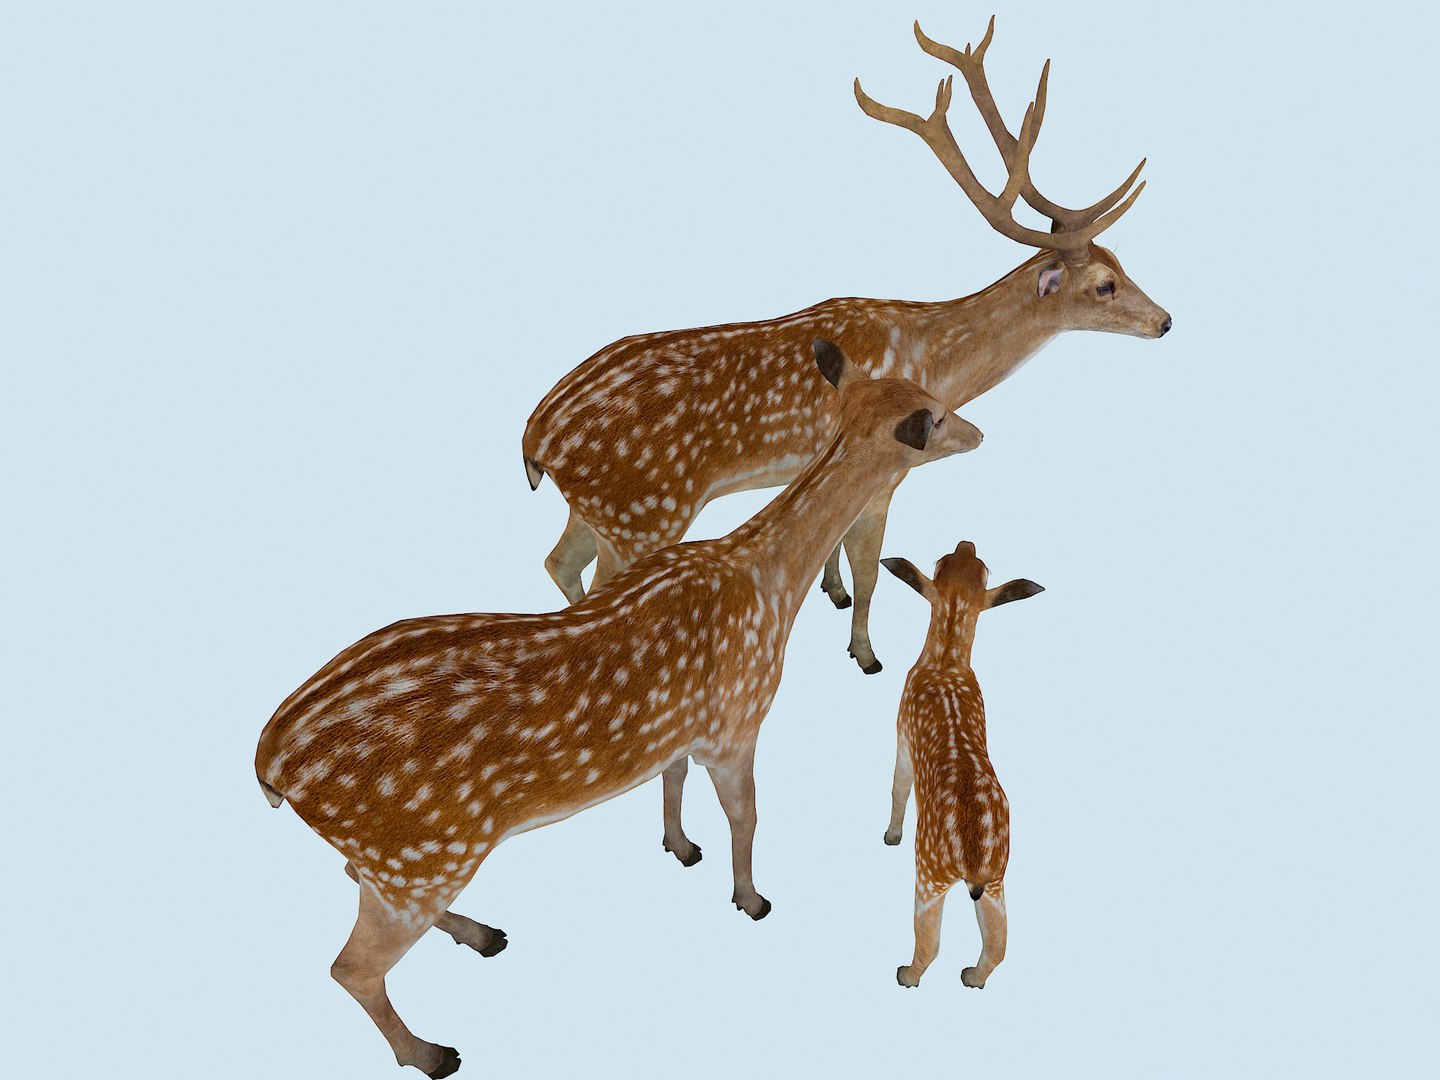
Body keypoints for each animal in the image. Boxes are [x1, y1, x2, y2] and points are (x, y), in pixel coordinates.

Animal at [254, 343, 983, 1077]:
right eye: (937, 416)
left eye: (921, 394)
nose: (980, 434)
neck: (768, 587)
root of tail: (270, 766)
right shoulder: (737, 720)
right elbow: (747, 817)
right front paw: (751, 900)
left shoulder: (683, 728)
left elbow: (672, 778)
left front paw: (680, 846)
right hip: (424, 852)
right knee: (350, 968)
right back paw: (432, 1052)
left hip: (400, 861)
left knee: (355, 883)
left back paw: (482, 934)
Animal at [523, 16, 1169, 680]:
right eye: (1105, 284)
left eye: (1123, 262)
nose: (1166, 321)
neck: (932, 359)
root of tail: (536, 436)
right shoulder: (891, 473)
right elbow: (869, 571)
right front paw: (865, 653)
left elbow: (834, 551)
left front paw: (830, 592)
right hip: (643, 513)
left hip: (597, 509)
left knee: (556, 561)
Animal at [879, 540, 1044, 991]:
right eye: (956, 561)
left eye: (939, 562)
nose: (966, 542)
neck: (946, 662)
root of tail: (972, 860)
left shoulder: (901, 734)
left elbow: (898, 786)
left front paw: (890, 835)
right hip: (999, 877)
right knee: (1000, 944)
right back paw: (972, 978)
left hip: (928, 869)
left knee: (930, 943)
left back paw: (905, 975)